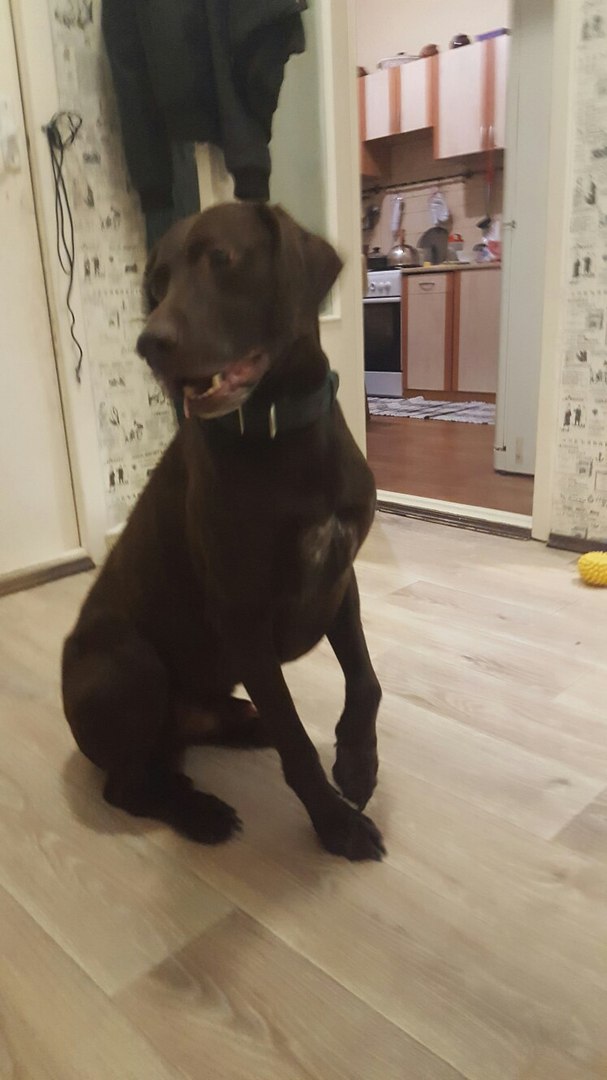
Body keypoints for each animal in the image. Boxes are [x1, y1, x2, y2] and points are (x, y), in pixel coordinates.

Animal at [62, 202, 384, 861]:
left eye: (221, 259)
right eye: (155, 285)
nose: (149, 344)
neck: (281, 434)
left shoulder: (339, 578)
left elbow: (365, 680)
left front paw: (357, 763)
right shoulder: (244, 619)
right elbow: (298, 747)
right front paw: (335, 825)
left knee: (203, 735)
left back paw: (243, 729)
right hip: (129, 663)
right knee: (127, 784)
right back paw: (199, 811)